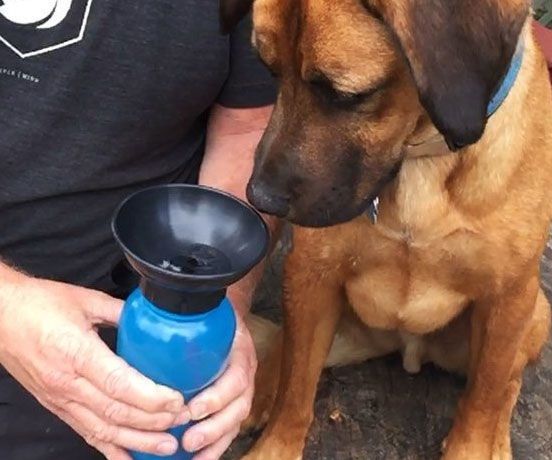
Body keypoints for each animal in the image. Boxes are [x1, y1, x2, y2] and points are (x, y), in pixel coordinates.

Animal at [221, 0, 552, 460]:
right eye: (270, 72)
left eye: (346, 95)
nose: (258, 198)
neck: (419, 159)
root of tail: (408, 347)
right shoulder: (312, 275)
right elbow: (296, 389)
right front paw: (275, 445)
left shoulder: (507, 297)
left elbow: (483, 401)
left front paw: (479, 442)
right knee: (288, 349)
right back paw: (263, 387)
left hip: (535, 313)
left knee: (507, 383)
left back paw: (500, 439)